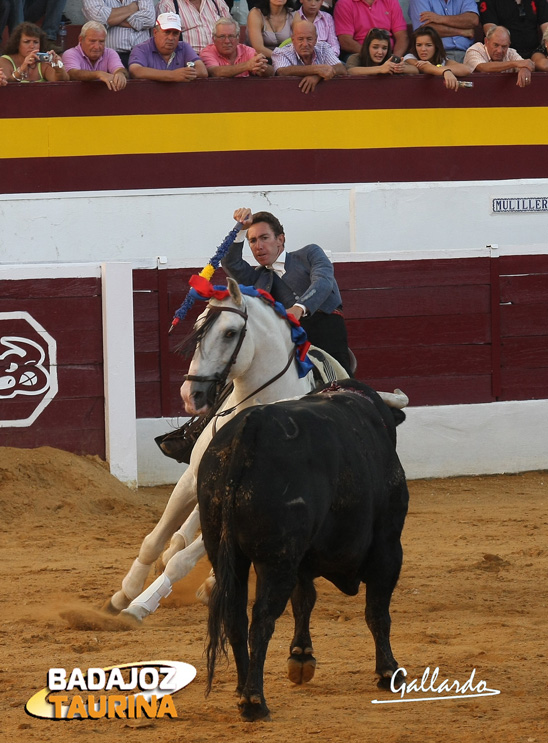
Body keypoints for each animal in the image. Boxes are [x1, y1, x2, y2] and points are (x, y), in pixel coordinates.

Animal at [199, 380, 408, 716]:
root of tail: (252, 427)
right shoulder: (388, 546)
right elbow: (377, 611)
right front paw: (389, 671)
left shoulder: (302, 558)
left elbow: (304, 600)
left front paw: (301, 656)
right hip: (277, 560)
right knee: (262, 619)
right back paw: (254, 700)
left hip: (225, 554)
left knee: (235, 616)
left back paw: (242, 688)